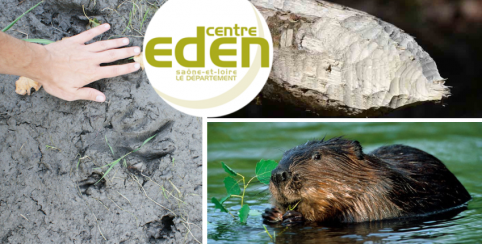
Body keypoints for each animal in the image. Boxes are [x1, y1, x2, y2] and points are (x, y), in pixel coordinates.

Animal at [264, 137, 470, 225]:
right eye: (284, 155)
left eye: (317, 156)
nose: (279, 175)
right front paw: (272, 213)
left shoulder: (380, 193)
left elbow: (357, 217)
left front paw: (295, 216)